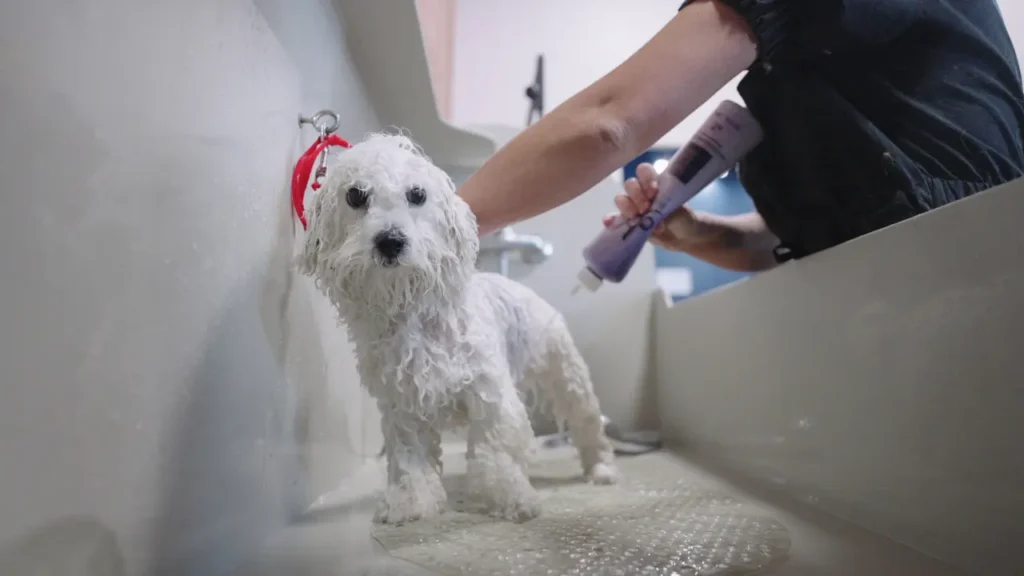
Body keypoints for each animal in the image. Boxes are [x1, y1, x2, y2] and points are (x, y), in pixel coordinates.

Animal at [296, 132, 614, 522]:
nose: (390, 241)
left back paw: (601, 469)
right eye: (355, 195)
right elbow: (410, 459)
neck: (415, 317)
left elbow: (496, 451)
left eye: (417, 194)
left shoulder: (489, 392)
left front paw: (512, 496)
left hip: (567, 373)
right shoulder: (401, 404)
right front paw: (411, 501)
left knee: (588, 423)